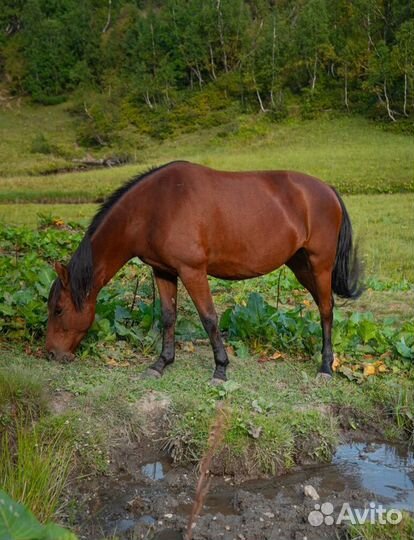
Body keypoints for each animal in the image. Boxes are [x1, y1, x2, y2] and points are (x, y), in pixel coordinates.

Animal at [46, 160, 362, 384]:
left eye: (58, 309)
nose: (51, 354)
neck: (155, 207)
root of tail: (328, 190)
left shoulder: (192, 271)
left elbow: (209, 318)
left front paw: (220, 370)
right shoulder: (163, 272)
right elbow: (168, 316)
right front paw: (161, 363)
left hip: (320, 264)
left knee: (326, 310)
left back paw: (325, 367)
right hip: (300, 265)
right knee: (324, 306)